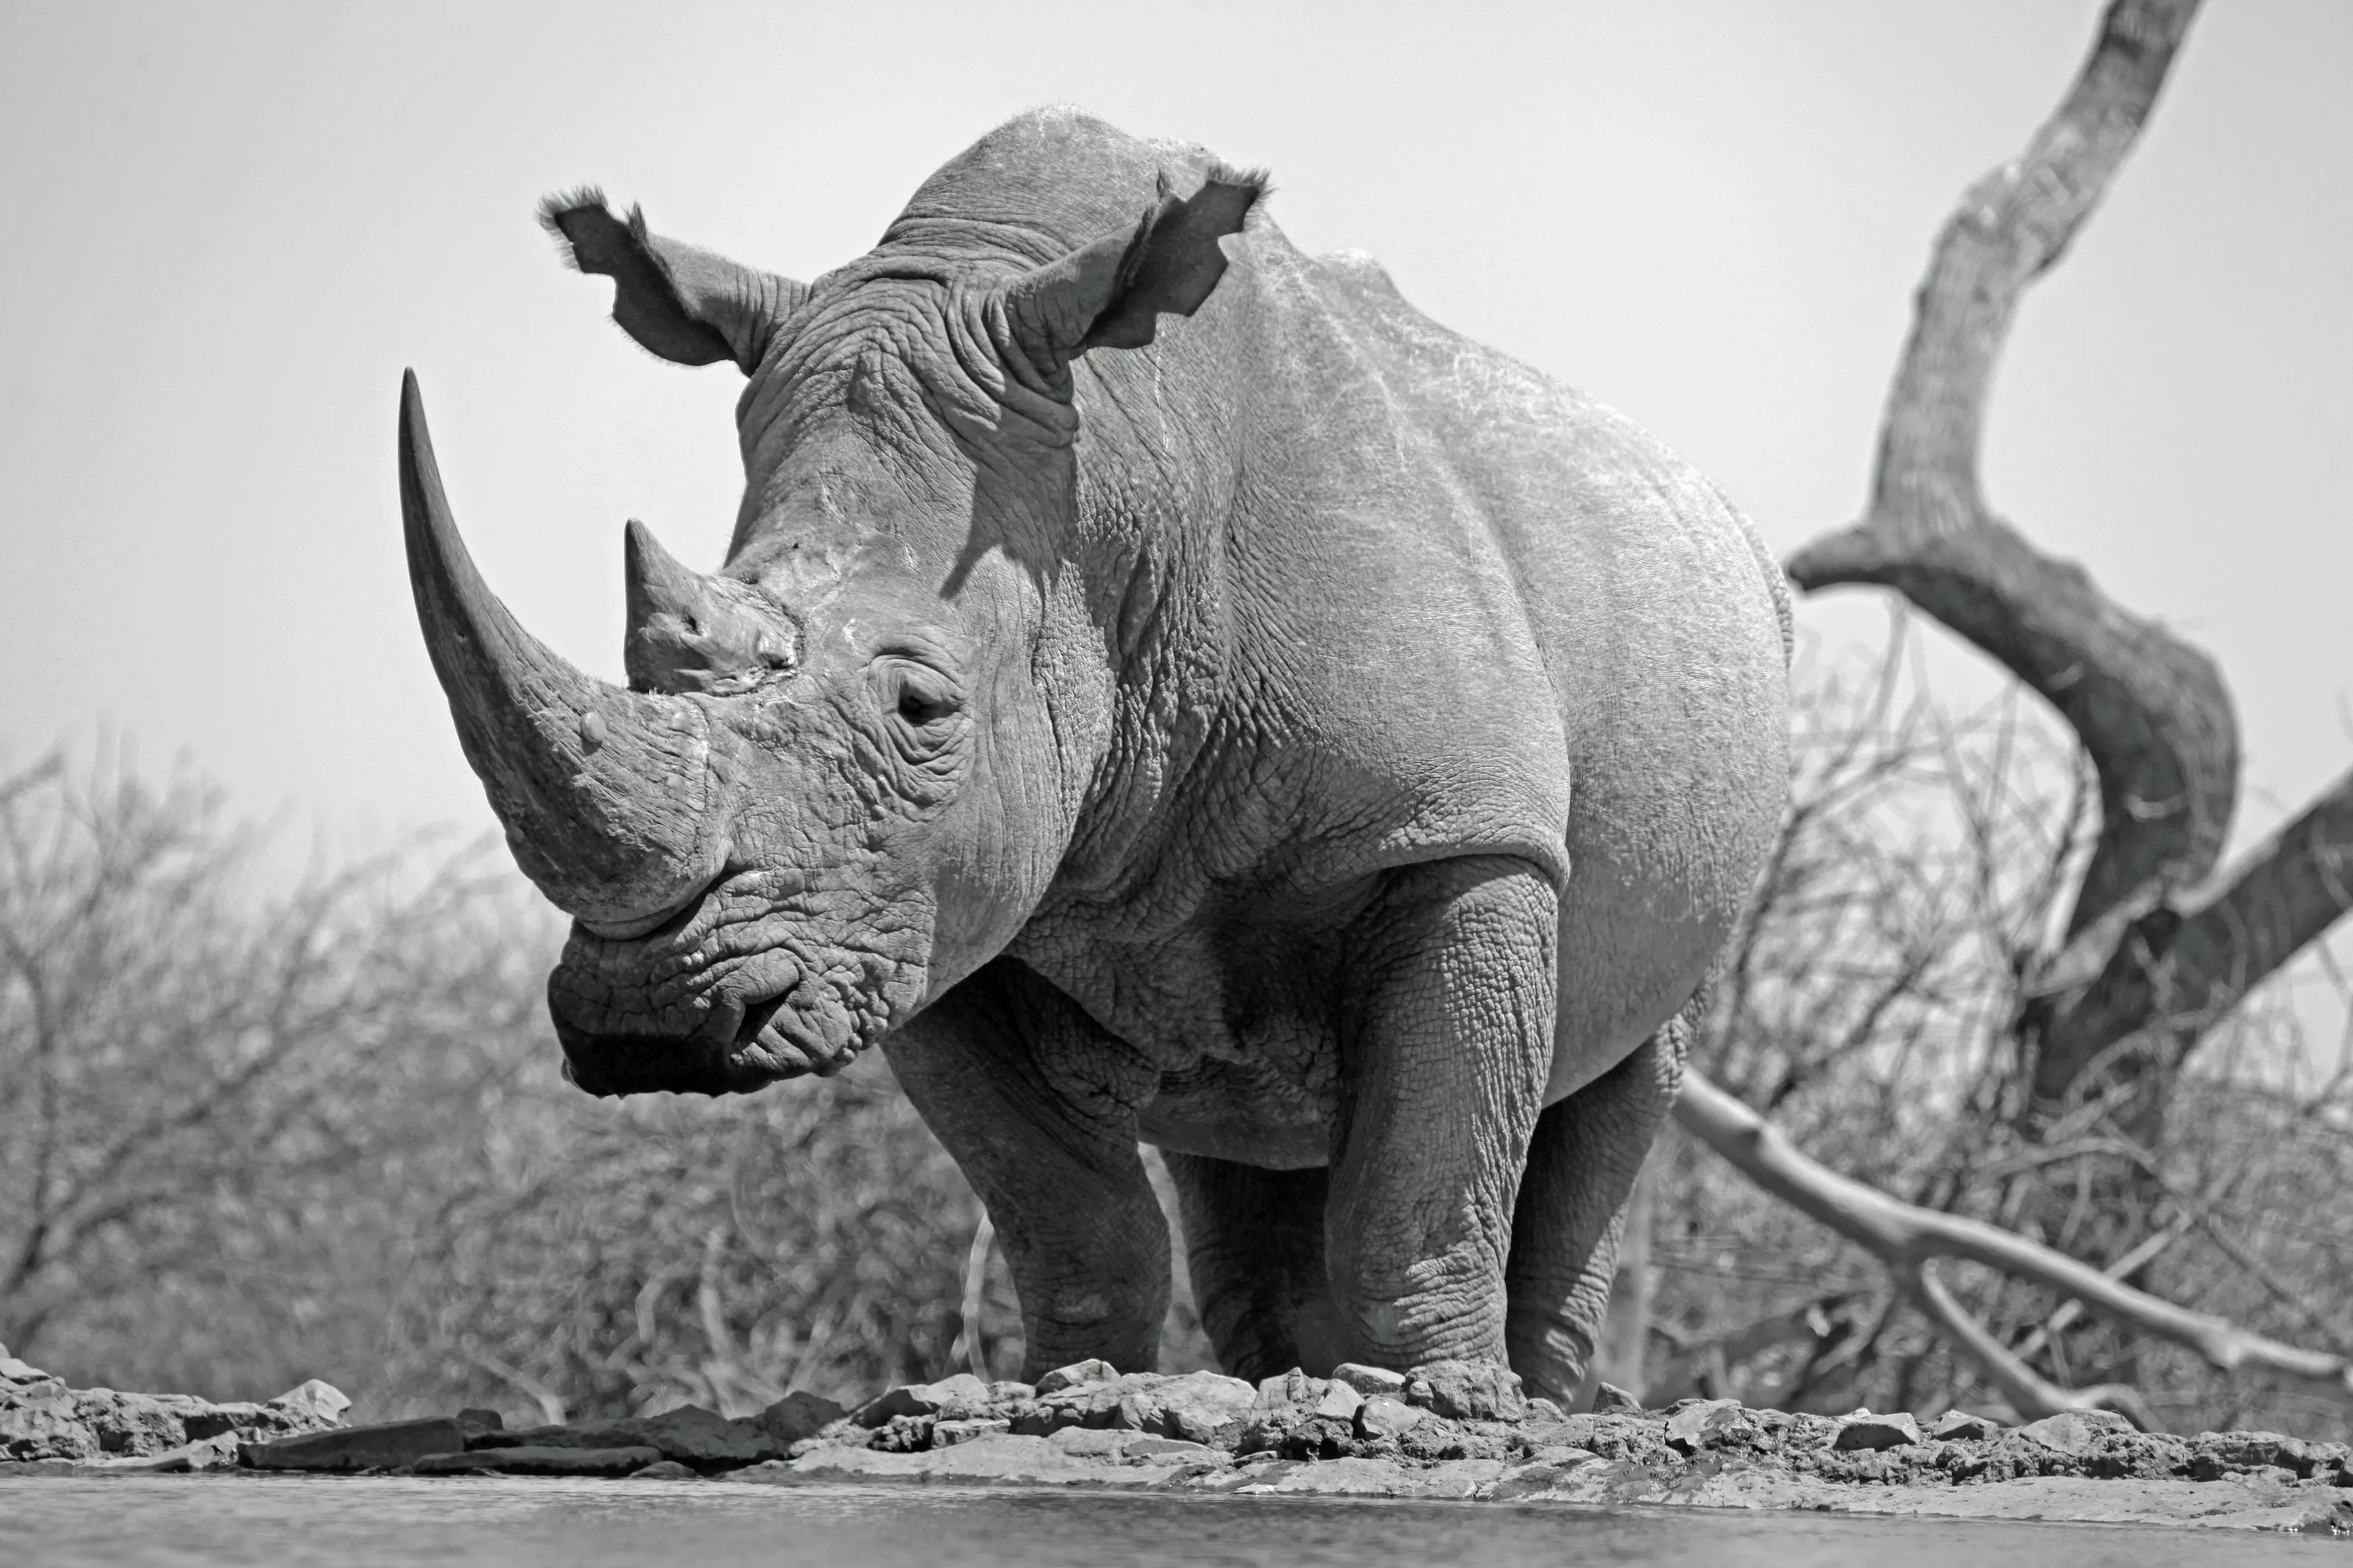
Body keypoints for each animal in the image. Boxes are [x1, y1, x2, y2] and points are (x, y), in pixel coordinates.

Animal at [399, 107, 1790, 1401]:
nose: (649, 1021)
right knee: (1248, 1125)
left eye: (923, 708)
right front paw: (1075, 1387)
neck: (1119, 487)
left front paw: (1435, 1398)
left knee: (1621, 1072)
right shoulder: (926, 906)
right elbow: (1067, 1212)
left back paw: (1538, 1396)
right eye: (654, 659)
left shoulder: (1453, 829)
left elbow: (1425, 1179)